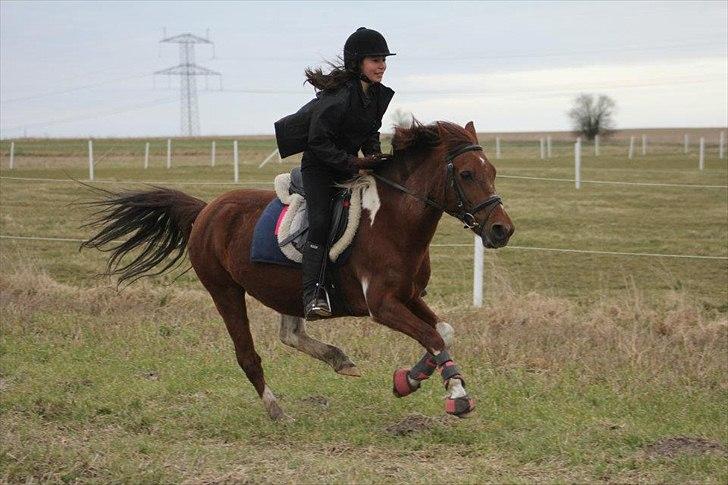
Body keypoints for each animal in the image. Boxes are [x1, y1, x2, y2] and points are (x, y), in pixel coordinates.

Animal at [82, 121, 516, 420]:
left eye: (493, 171)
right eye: (466, 174)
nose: (502, 230)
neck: (392, 221)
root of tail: (206, 210)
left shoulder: (407, 296)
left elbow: (443, 332)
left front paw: (409, 380)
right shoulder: (382, 306)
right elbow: (432, 336)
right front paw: (457, 395)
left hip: (288, 289)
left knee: (290, 334)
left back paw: (338, 358)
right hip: (224, 290)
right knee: (248, 355)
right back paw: (276, 409)